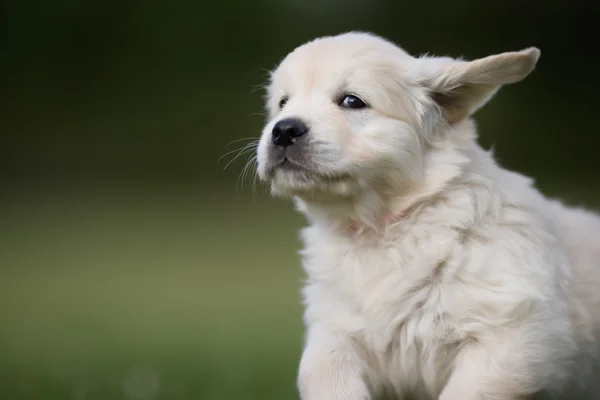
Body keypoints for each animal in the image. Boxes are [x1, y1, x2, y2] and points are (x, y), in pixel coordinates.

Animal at [254, 32, 600, 400]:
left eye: (352, 101)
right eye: (282, 103)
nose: (283, 130)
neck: (385, 226)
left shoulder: (510, 340)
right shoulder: (336, 326)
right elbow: (322, 370)